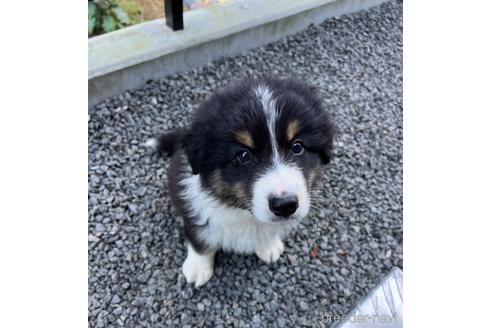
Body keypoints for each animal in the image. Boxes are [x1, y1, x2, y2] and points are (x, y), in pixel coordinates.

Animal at [148, 75, 334, 286]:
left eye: (297, 147)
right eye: (243, 155)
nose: (285, 205)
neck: (243, 211)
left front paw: (268, 247)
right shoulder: (193, 207)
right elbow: (199, 240)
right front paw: (197, 268)